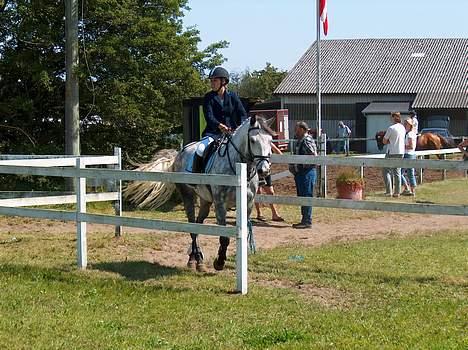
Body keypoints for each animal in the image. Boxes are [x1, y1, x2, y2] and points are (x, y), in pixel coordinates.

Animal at [125, 116, 278, 272]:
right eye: (252, 140)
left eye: (270, 140)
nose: (264, 170)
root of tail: (179, 154)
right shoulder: (220, 204)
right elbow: (224, 237)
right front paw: (219, 262)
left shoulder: (248, 204)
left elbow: (243, 231)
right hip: (188, 195)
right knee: (192, 226)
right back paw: (194, 260)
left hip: (205, 201)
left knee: (198, 224)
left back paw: (197, 259)